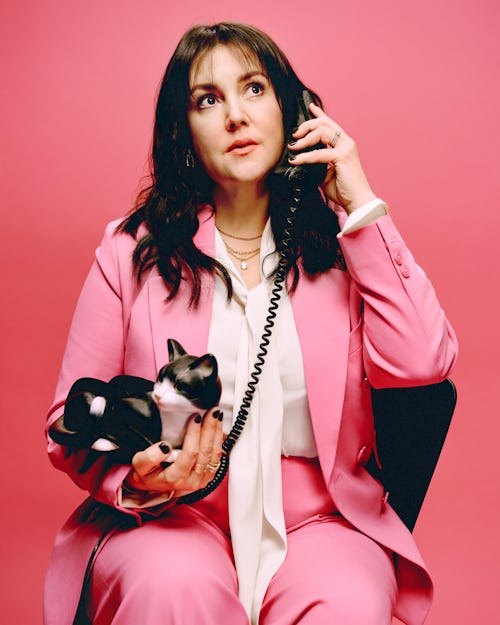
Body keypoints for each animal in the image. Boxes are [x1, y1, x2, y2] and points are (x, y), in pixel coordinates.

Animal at [49, 339, 221, 469]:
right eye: (160, 379)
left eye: (179, 386)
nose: (157, 395)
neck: (177, 419)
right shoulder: (120, 408)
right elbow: (141, 438)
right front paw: (168, 452)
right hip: (88, 397)